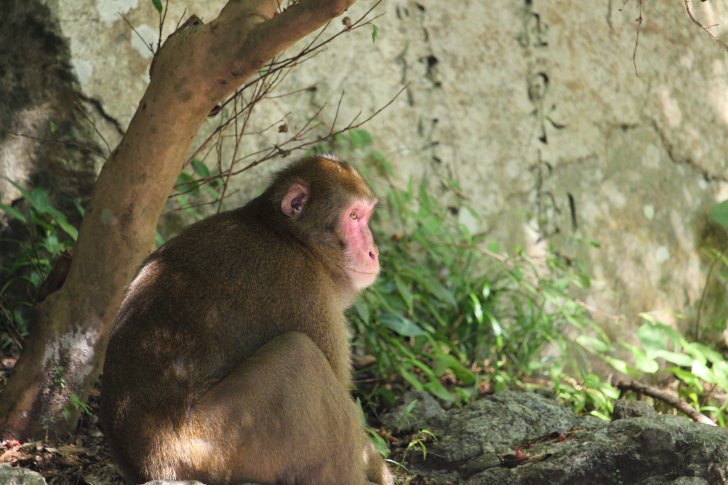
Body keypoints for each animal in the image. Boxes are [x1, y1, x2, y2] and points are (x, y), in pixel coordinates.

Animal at [99, 155, 392, 484]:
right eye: (353, 216)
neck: (290, 239)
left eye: (364, 216)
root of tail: (149, 464)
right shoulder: (307, 293)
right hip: (223, 444)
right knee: (300, 356)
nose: (373, 252)